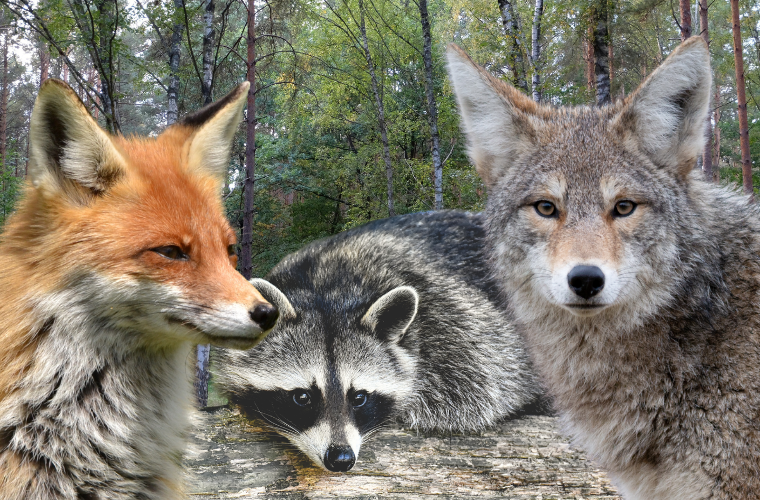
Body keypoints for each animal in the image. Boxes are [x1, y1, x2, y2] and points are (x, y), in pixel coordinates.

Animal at [216, 210, 544, 472]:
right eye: (302, 397)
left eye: (359, 397)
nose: (341, 459)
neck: (325, 286)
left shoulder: (458, 324)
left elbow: (492, 383)